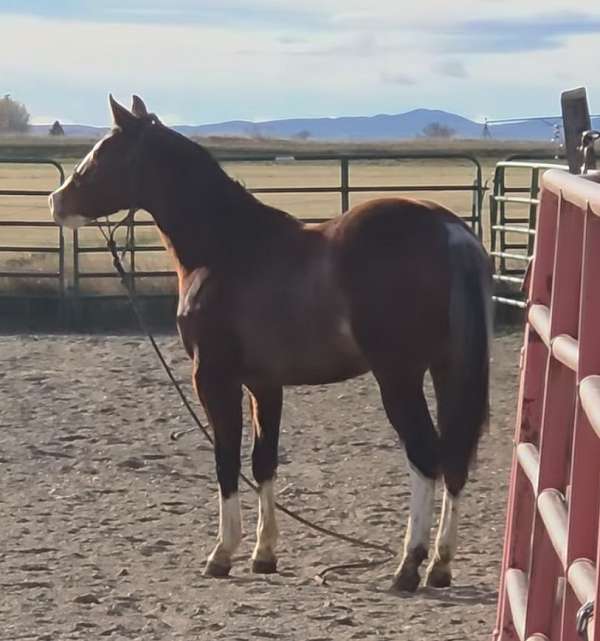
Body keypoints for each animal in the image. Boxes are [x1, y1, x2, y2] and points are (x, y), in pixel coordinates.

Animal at [49, 94, 492, 592]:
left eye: (103, 153)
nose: (56, 201)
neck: (227, 247)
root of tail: (448, 232)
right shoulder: (264, 385)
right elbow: (264, 462)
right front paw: (264, 554)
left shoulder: (214, 378)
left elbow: (226, 460)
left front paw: (221, 554)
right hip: (447, 369)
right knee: (454, 457)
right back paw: (440, 564)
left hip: (399, 377)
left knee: (425, 456)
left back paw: (409, 565)